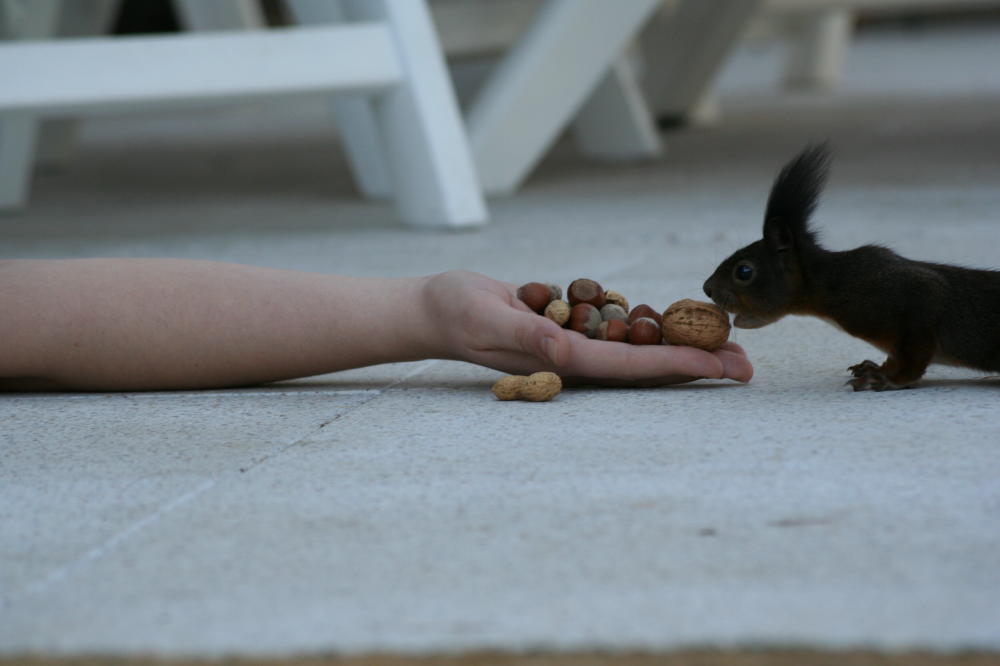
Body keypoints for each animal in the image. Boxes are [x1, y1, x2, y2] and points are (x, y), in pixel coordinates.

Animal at [700, 141, 1000, 390]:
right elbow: (897, 356)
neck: (835, 283)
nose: (707, 288)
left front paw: (886, 380)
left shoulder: (915, 301)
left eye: (744, 271)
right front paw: (874, 368)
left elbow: (913, 359)